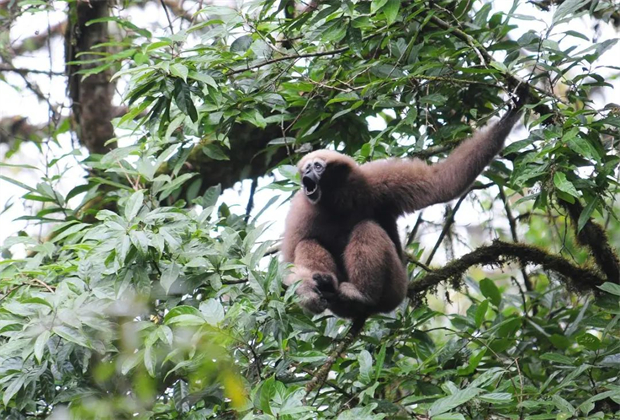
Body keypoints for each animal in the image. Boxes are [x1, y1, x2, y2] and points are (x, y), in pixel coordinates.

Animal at [281, 103, 525, 320]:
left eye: (317, 166)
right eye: (307, 168)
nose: (307, 175)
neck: (336, 201)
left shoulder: (377, 180)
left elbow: (442, 183)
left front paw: (512, 112)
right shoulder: (301, 211)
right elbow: (290, 261)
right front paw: (308, 296)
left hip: (396, 288)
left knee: (366, 227)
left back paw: (360, 295)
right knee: (307, 243)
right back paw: (330, 287)